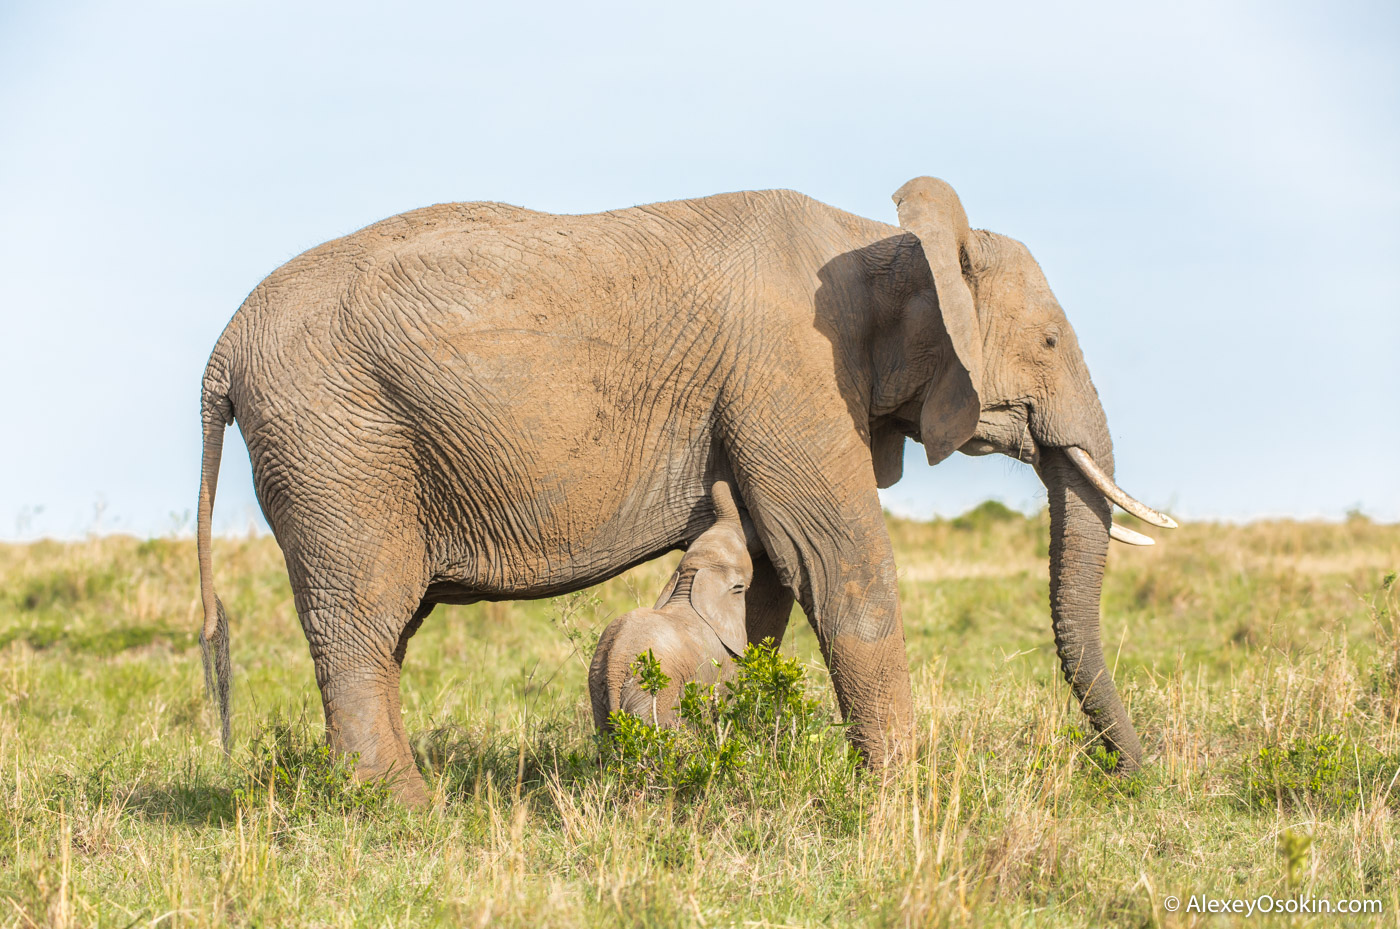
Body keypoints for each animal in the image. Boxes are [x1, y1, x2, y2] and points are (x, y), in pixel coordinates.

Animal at [585, 478, 750, 733]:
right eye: (740, 588)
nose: (721, 481)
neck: (694, 577)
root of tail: (613, 668)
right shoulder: (723, 663)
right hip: (651, 690)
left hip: (599, 692)